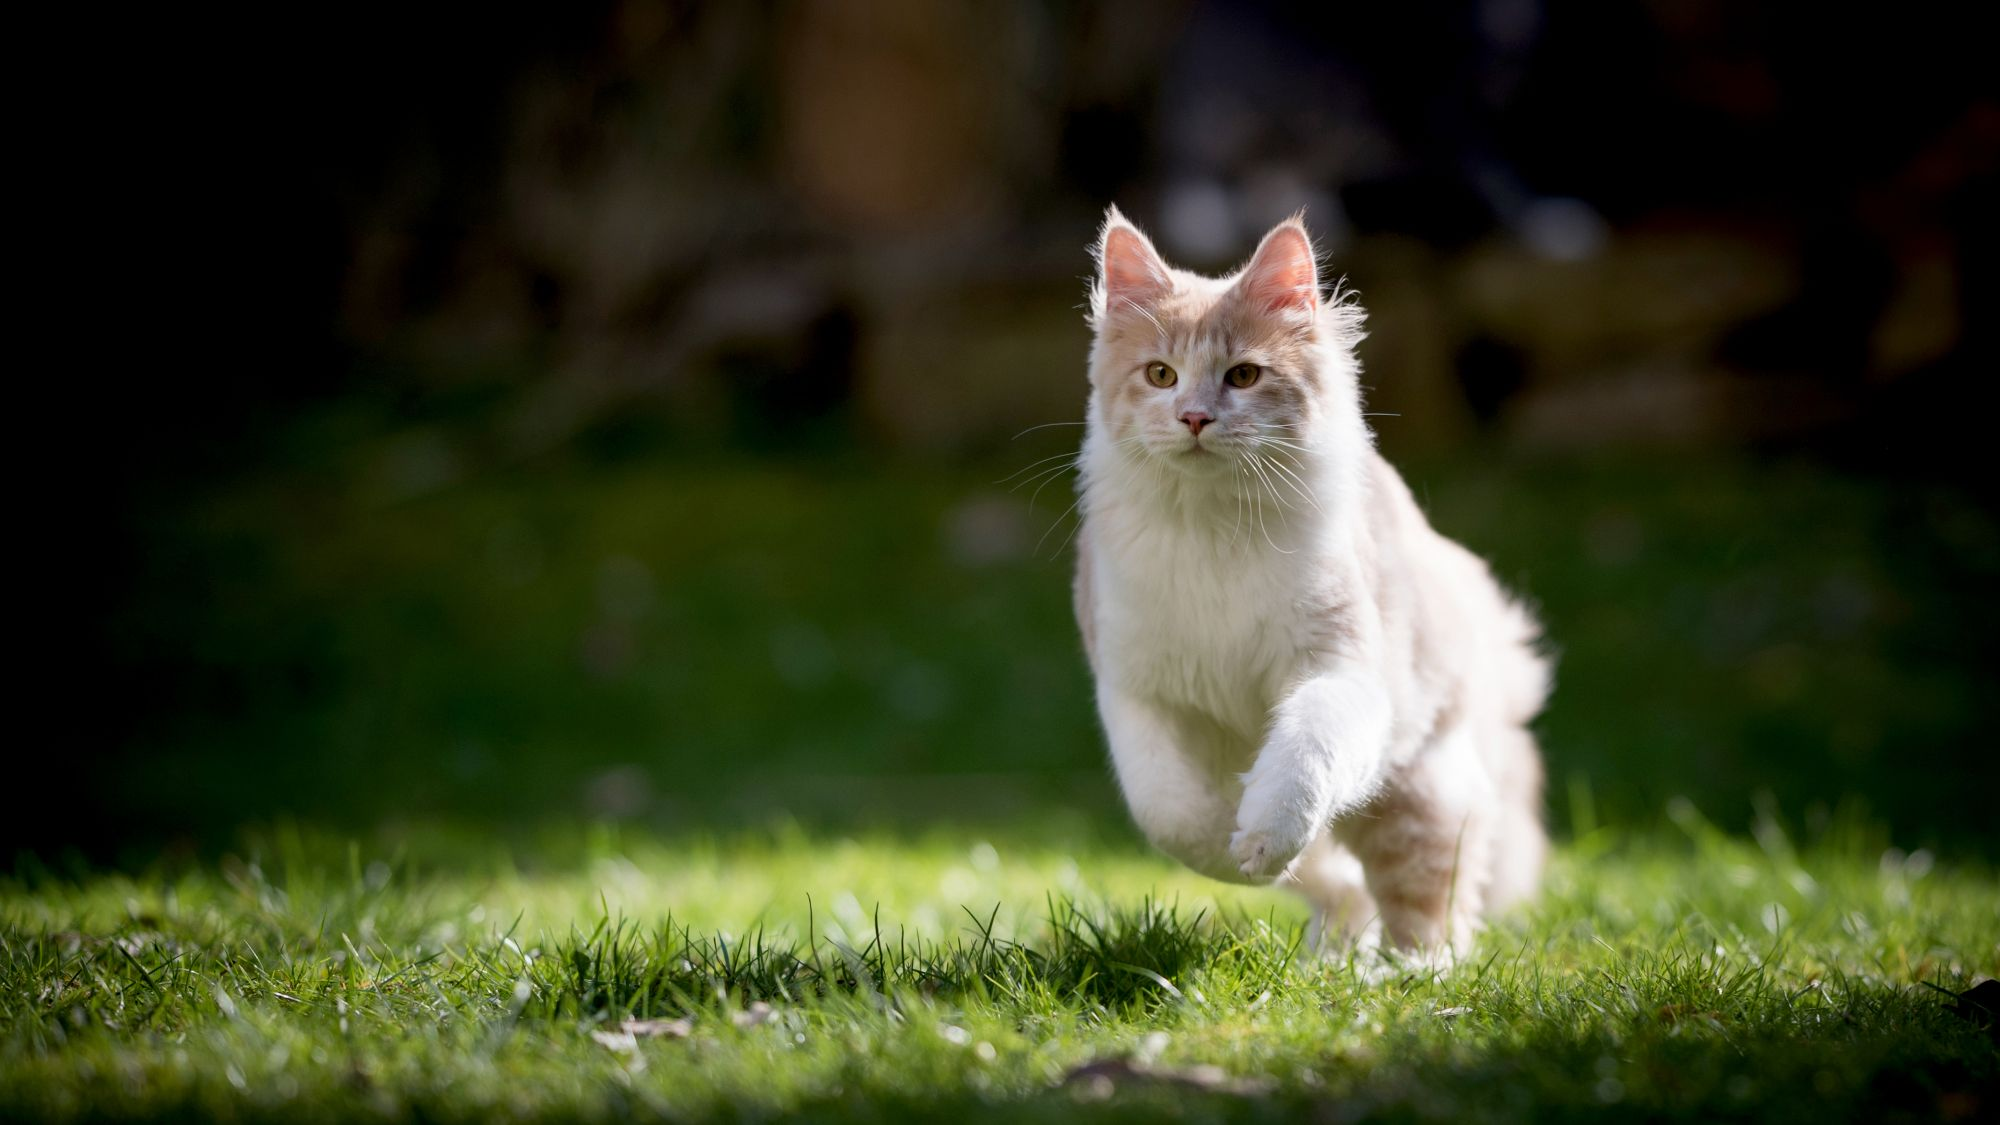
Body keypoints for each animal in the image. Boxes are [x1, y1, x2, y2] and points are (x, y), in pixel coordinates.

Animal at [1072, 206, 1552, 948]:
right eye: (1159, 374)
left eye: (1243, 376)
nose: (1194, 417)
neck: (1215, 526)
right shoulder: (1138, 693)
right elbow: (1171, 812)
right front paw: (1231, 850)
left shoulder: (1340, 671)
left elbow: (1301, 762)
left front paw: (1261, 837)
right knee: (1344, 889)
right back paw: (1329, 957)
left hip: (1420, 789)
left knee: (1430, 903)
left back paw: (1401, 969)